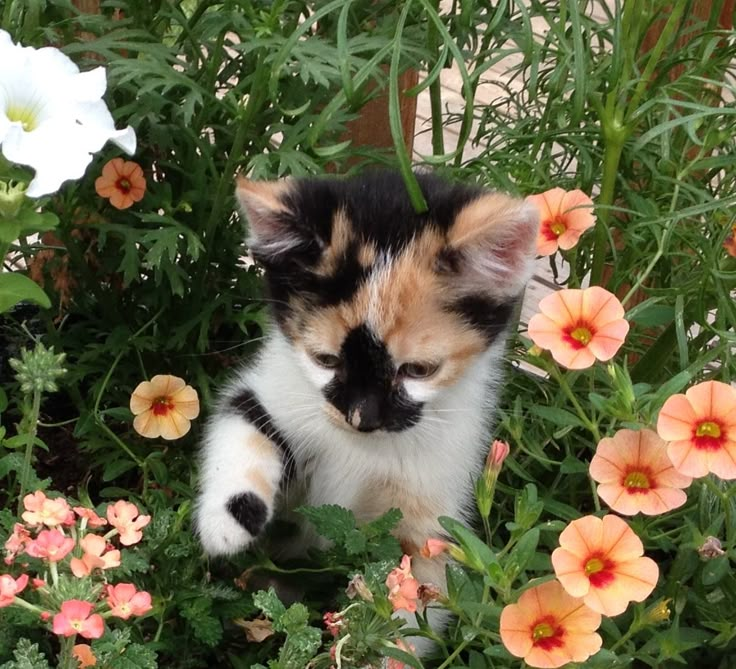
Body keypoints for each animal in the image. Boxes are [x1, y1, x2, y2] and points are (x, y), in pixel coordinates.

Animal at [196, 167, 540, 632]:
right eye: (324, 360)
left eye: (418, 370)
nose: (362, 418)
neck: (361, 447)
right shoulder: (276, 386)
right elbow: (244, 419)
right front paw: (226, 523)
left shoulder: (431, 513)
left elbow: (414, 594)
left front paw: (376, 639)